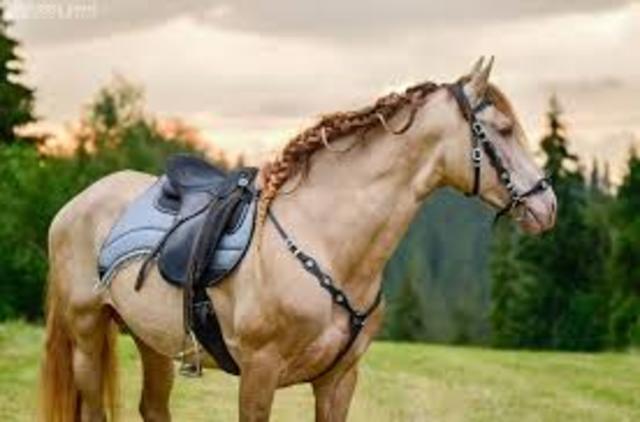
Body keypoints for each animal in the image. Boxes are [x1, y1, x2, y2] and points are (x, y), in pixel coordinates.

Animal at [39, 58, 556, 422]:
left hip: (152, 340)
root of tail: (75, 205)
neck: (325, 241)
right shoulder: (259, 374)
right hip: (87, 336)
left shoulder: (339, 380)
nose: (547, 206)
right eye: (504, 130)